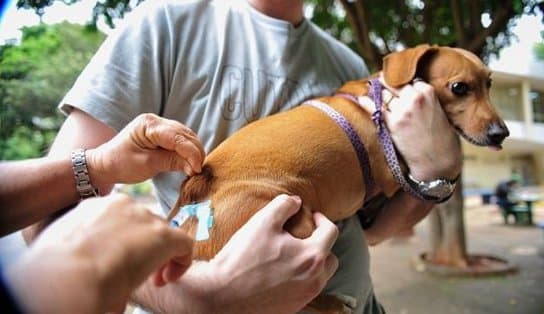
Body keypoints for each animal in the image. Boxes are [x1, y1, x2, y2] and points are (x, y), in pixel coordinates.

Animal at [167, 44, 510, 314]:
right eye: (460, 88)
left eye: (490, 83)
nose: (501, 133)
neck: (381, 98)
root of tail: (196, 192)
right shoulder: (392, 177)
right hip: (298, 224)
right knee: (293, 297)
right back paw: (334, 303)